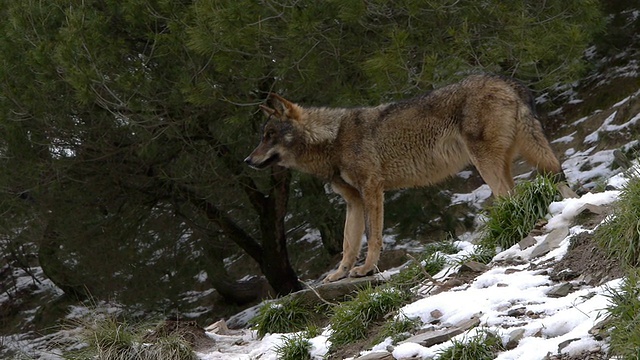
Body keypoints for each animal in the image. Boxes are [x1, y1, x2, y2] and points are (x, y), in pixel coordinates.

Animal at [244, 74, 560, 282]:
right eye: (261, 137)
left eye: (269, 135)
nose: (247, 160)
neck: (331, 139)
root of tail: (506, 80)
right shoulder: (353, 201)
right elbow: (348, 244)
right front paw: (340, 273)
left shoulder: (372, 189)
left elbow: (373, 237)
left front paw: (367, 269)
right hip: (509, 161)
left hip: (486, 164)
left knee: (509, 197)